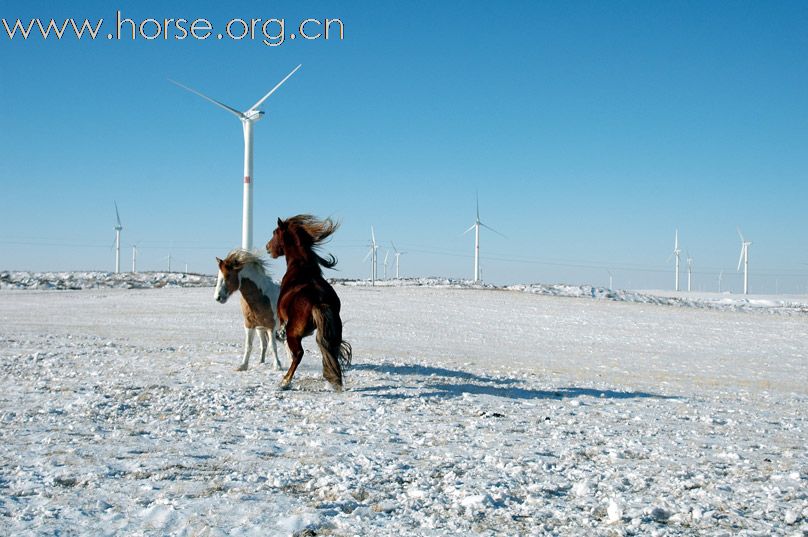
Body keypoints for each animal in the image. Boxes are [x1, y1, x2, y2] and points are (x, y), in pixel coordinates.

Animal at [266, 214, 352, 390]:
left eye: (275, 232)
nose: (267, 247)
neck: (300, 267)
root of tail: (318, 301)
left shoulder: (282, 318)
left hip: (294, 334)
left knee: (298, 354)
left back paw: (285, 381)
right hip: (333, 332)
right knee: (331, 350)